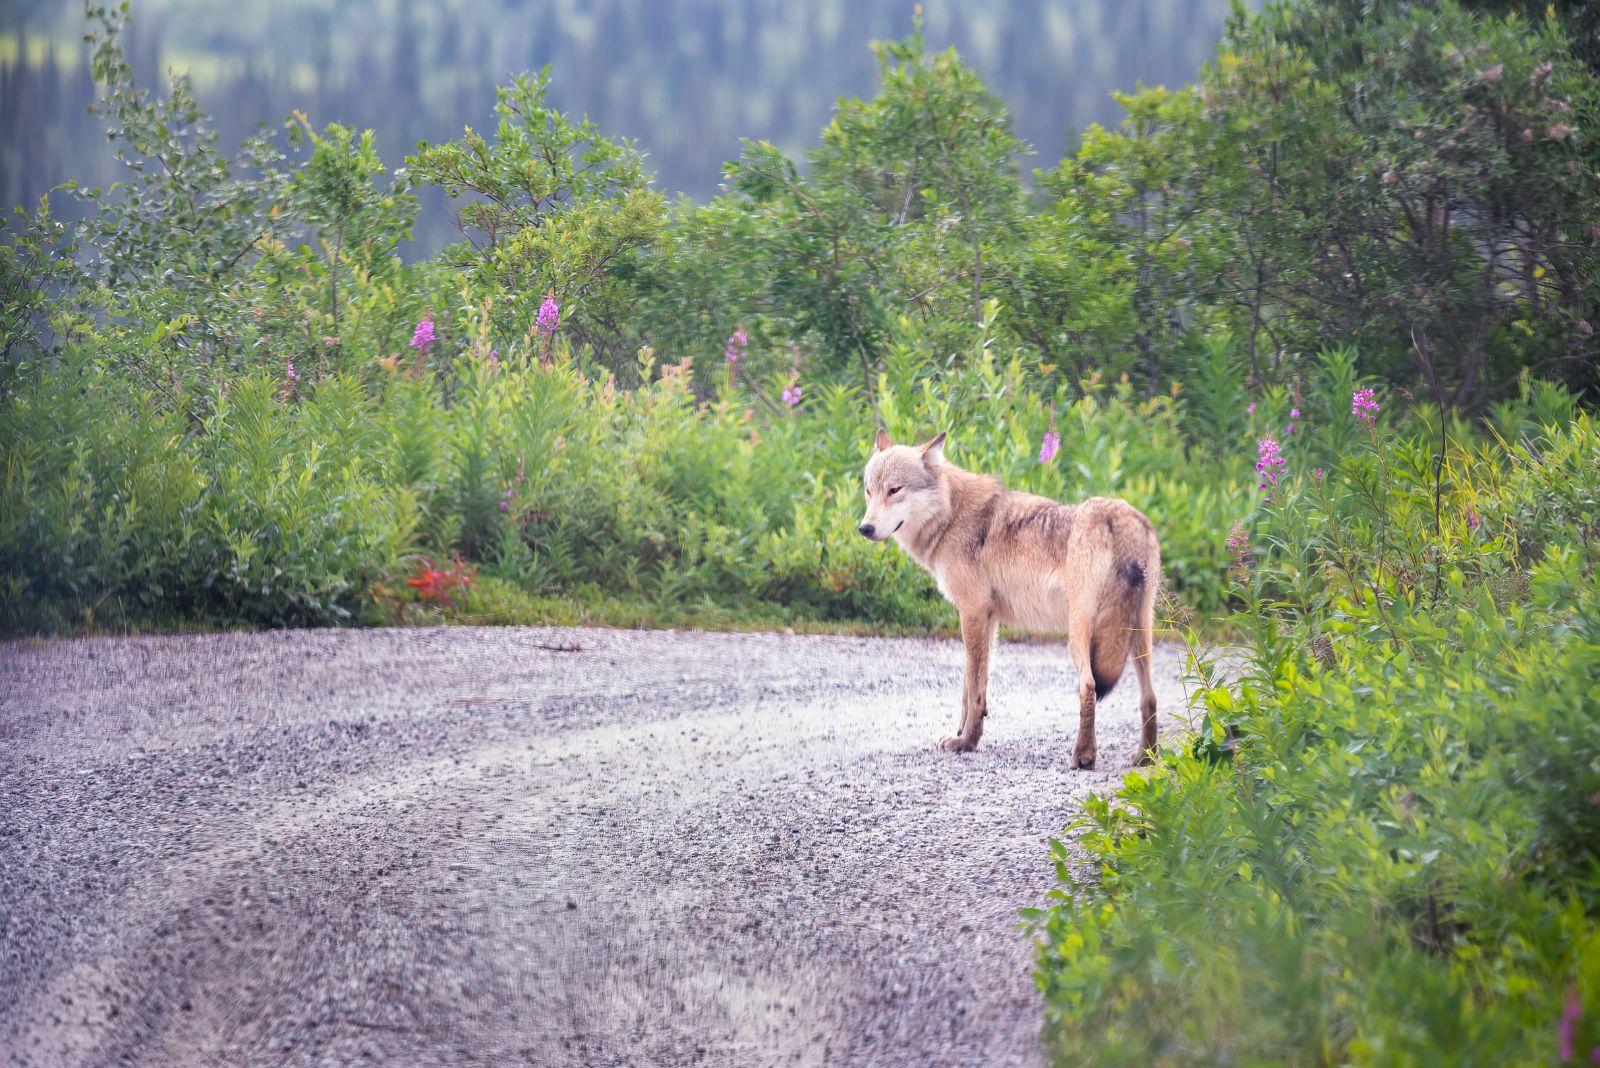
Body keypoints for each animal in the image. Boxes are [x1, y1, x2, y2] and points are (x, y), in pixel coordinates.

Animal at [864, 428, 1164, 770]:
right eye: (869, 491)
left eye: (894, 490)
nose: (864, 528)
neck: (950, 515)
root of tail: (1120, 518)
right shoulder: (986, 619)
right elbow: (972, 687)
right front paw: (961, 734)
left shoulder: (972, 613)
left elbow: (973, 688)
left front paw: (965, 742)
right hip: (1139, 636)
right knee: (1150, 697)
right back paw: (1145, 757)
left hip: (1079, 636)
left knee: (1088, 687)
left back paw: (1083, 756)